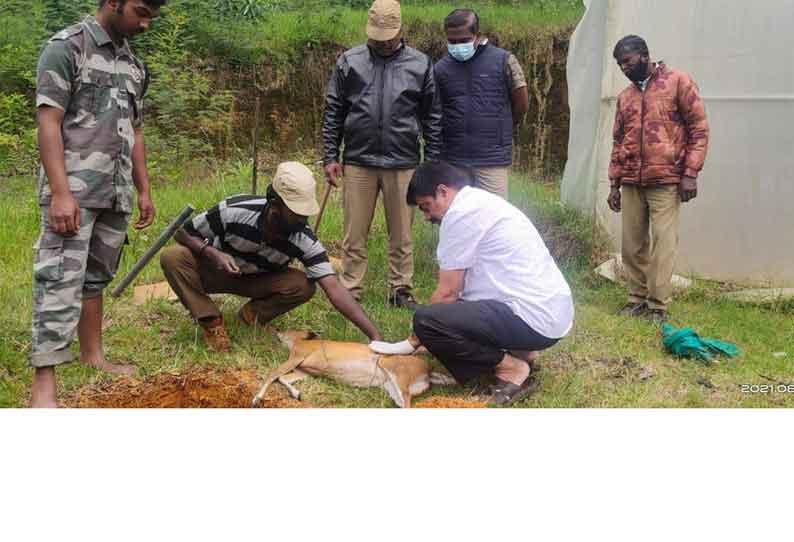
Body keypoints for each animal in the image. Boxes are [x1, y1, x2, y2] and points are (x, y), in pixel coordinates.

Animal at [251, 332, 454, 408]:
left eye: (286, 331)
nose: (276, 333)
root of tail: (428, 370)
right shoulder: (304, 369)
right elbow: (283, 378)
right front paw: (297, 394)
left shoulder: (297, 356)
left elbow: (273, 374)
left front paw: (257, 399)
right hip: (392, 386)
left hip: (393, 369)